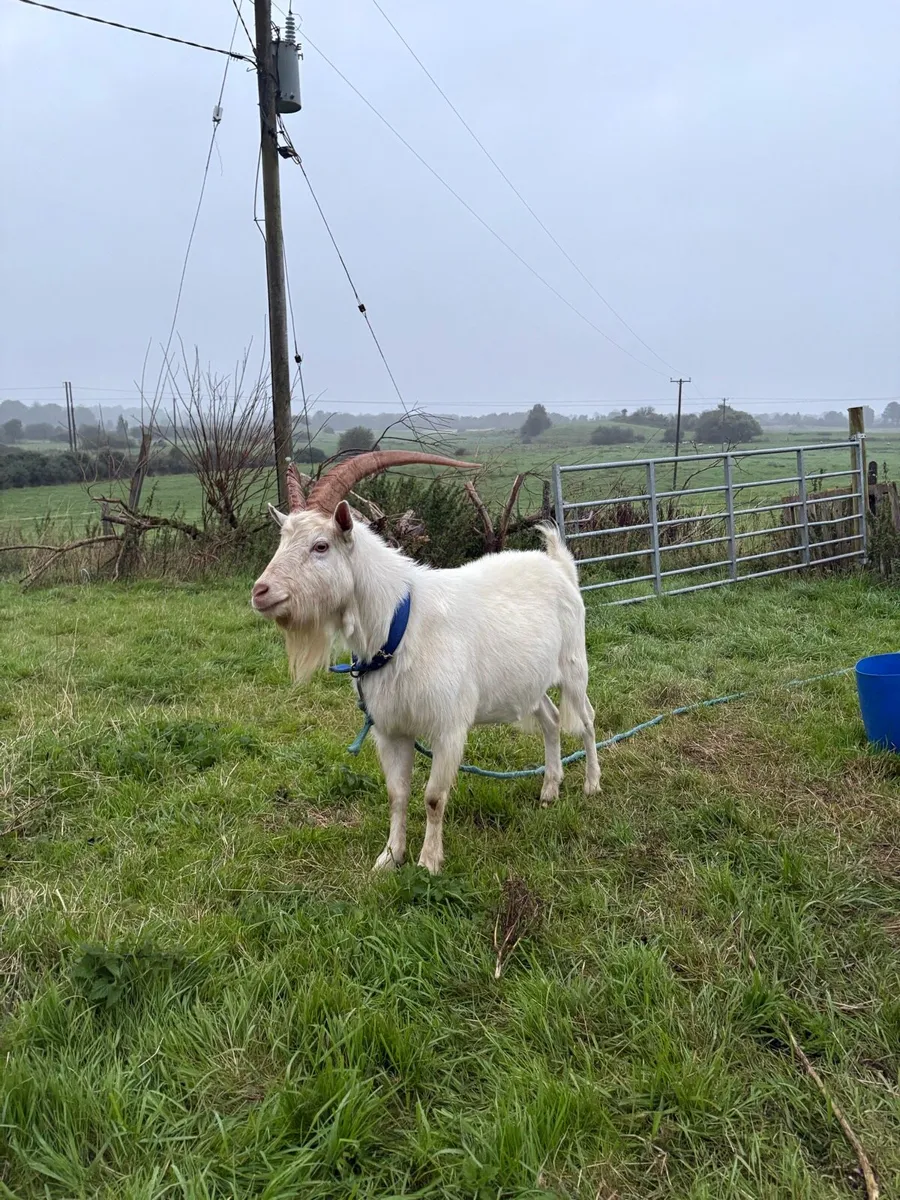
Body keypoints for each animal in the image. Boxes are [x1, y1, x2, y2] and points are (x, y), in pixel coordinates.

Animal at [251, 452, 600, 873]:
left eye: (321, 546)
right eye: (282, 541)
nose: (260, 592)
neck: (399, 626)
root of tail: (557, 565)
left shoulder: (449, 728)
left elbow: (433, 797)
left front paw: (429, 862)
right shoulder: (390, 730)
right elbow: (397, 794)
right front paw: (389, 857)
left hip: (574, 666)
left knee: (586, 718)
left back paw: (591, 784)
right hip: (528, 682)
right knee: (550, 719)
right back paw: (549, 789)